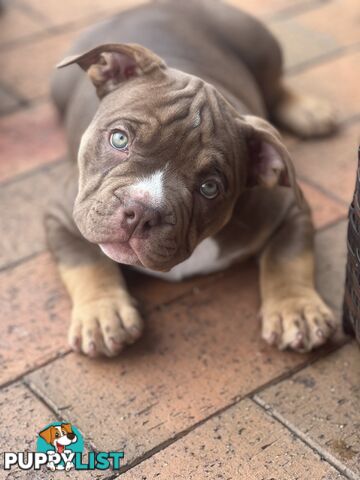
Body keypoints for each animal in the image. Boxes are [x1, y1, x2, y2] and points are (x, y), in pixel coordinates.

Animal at [45, 0, 338, 356]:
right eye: (119, 139)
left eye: (209, 188)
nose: (140, 212)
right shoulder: (63, 213)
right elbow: (85, 261)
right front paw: (103, 313)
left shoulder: (290, 209)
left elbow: (289, 256)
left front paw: (298, 309)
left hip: (261, 47)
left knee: (275, 86)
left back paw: (309, 111)